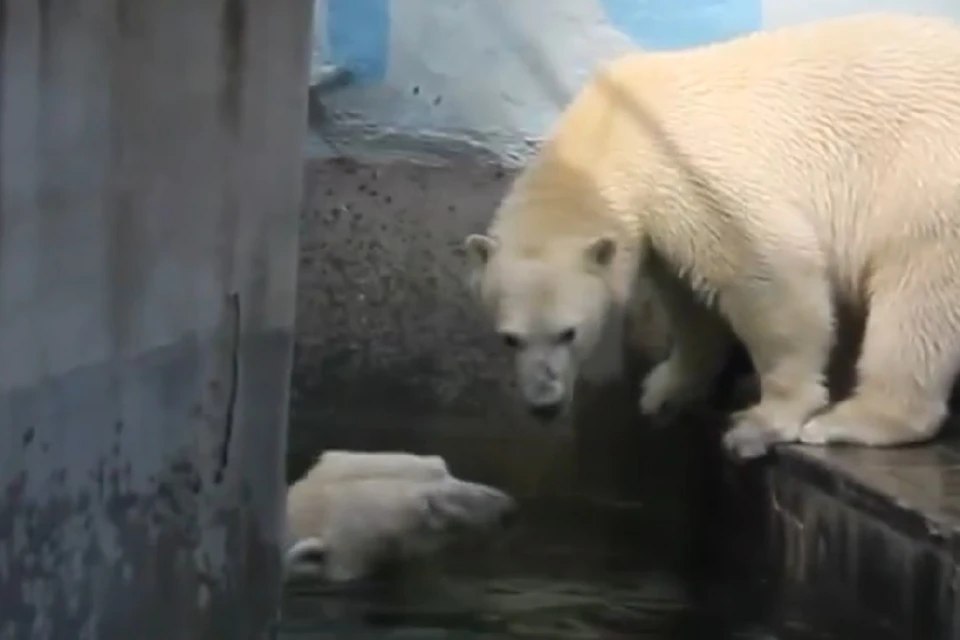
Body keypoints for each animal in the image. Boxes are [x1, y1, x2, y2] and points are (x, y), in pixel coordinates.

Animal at [468, 11, 960, 460]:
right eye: (509, 338)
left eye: (568, 333)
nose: (544, 404)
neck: (614, 126)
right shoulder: (661, 221)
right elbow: (689, 301)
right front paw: (666, 387)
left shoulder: (693, 176)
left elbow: (770, 277)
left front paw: (762, 421)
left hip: (928, 175)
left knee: (918, 297)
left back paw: (856, 418)